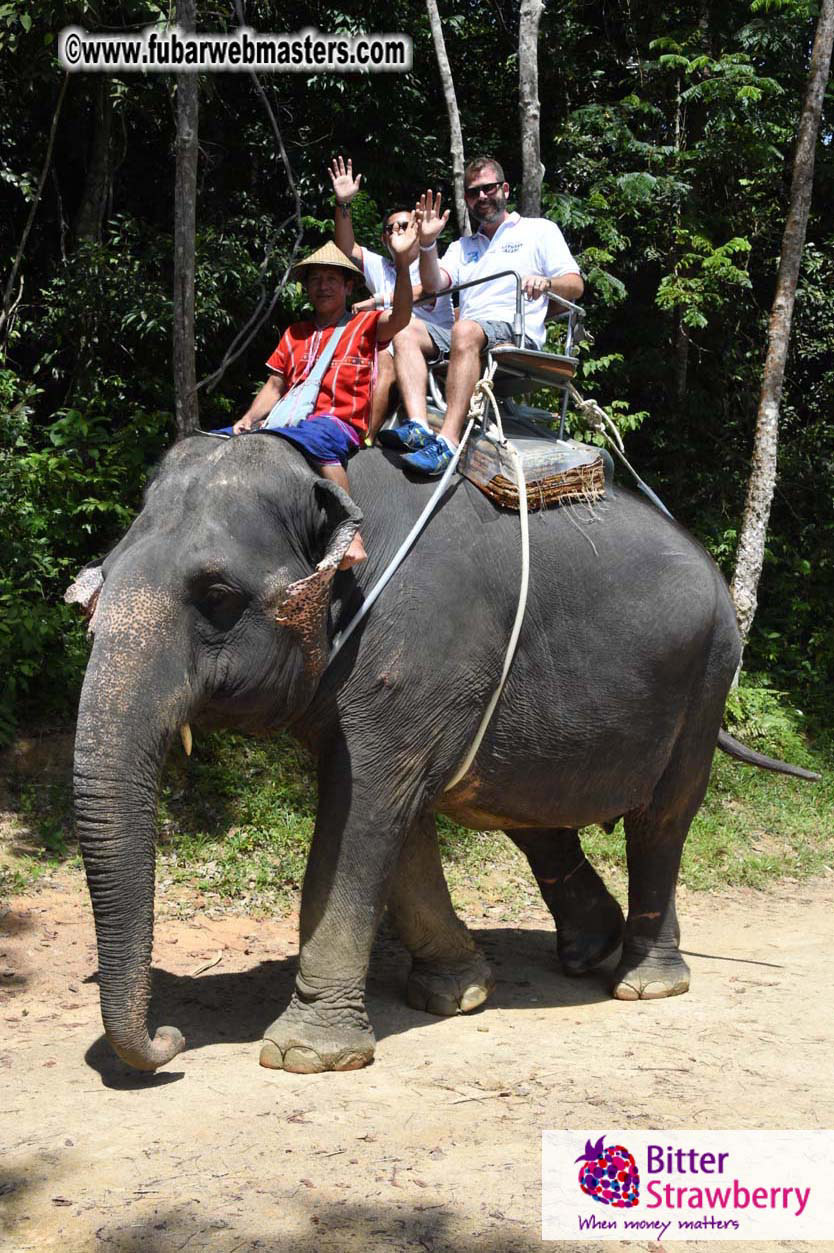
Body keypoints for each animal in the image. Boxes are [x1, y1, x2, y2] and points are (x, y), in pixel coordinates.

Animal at [69, 431, 816, 1074]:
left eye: (218, 596)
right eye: (98, 583)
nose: (169, 1038)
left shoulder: (417, 647)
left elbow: (362, 814)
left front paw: (305, 1054)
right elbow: (397, 819)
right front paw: (457, 994)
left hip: (706, 678)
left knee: (661, 820)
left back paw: (646, 984)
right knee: (533, 816)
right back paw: (589, 951)